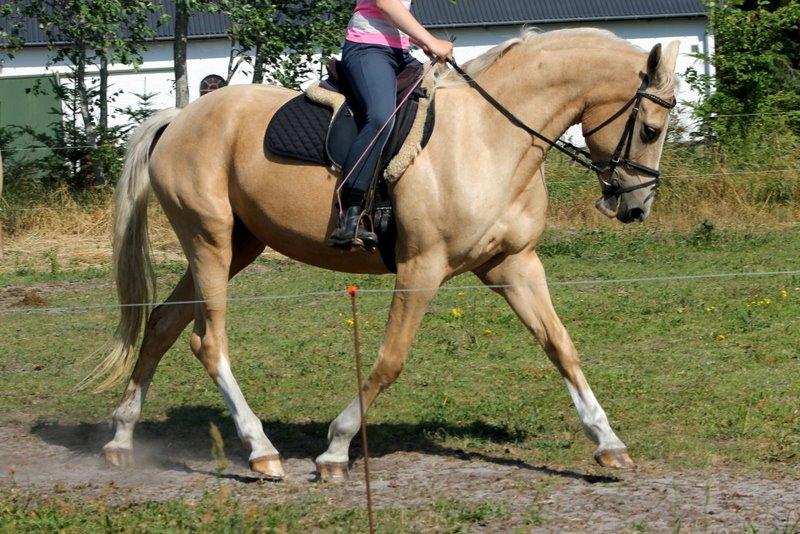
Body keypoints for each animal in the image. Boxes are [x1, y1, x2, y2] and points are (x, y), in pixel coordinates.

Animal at [95, 29, 680, 482]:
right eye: (651, 129)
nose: (636, 206)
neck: (489, 138)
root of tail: (180, 118)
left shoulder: (513, 264)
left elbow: (561, 346)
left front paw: (608, 442)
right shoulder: (422, 267)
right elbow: (390, 359)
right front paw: (335, 449)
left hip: (237, 245)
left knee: (163, 324)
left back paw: (122, 438)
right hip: (209, 242)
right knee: (207, 341)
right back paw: (261, 452)